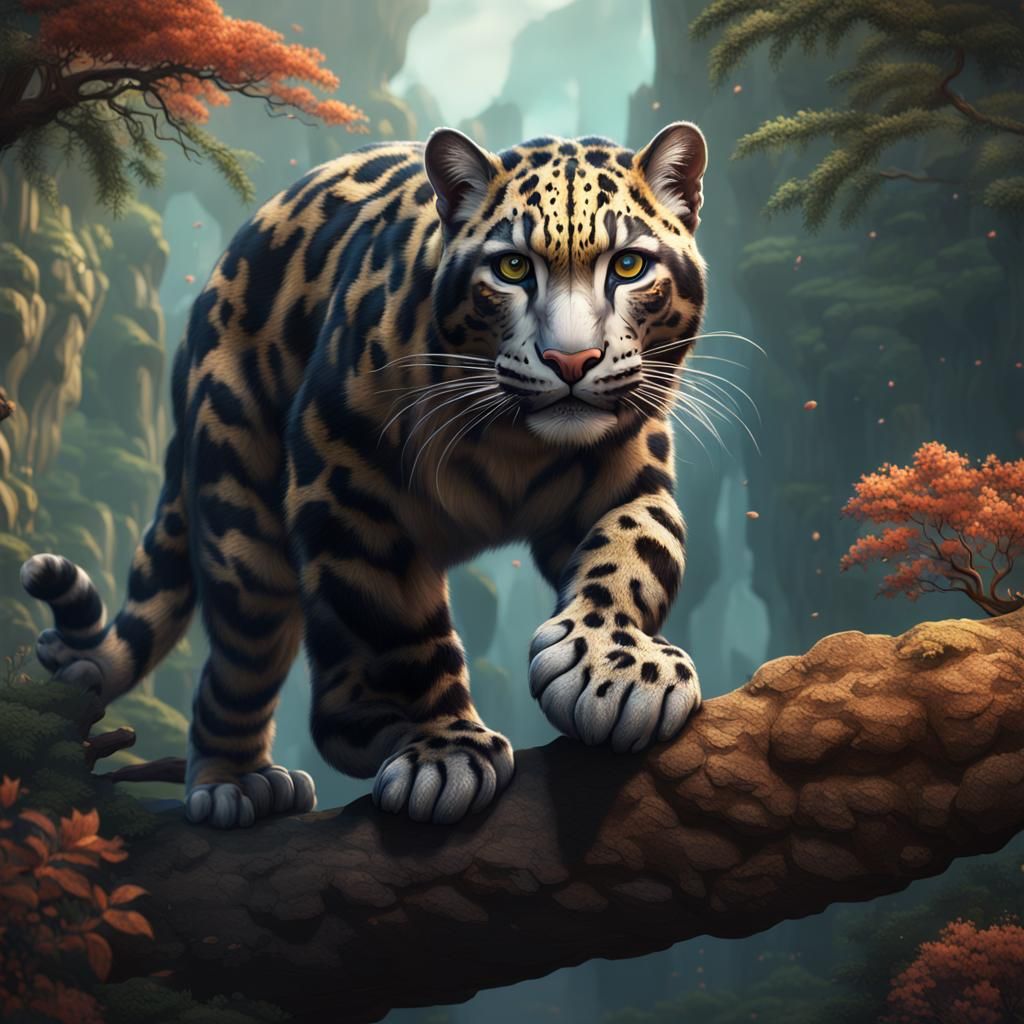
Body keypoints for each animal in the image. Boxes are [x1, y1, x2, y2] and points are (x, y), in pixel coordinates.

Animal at [21, 121, 708, 828]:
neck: (515, 443)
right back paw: (236, 782)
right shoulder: (342, 479)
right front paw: (443, 752)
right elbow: (402, 632)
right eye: (513, 268)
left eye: (628, 266)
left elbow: (631, 552)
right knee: (247, 664)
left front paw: (616, 671)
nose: (571, 360)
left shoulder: (631, 478)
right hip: (242, 525)